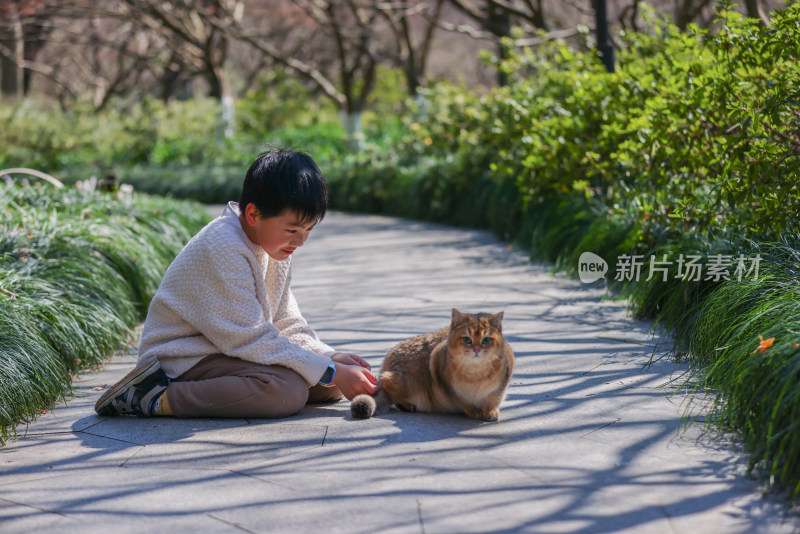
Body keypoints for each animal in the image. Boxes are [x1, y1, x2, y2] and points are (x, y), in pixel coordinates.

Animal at [352, 310, 516, 422]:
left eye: (486, 340)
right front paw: (474, 411)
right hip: (407, 382)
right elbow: (462, 401)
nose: (477, 350)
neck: (476, 374)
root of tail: (388, 358)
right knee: (387, 384)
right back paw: (407, 405)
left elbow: (493, 399)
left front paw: (490, 411)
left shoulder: (501, 386)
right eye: (467, 340)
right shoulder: (445, 383)